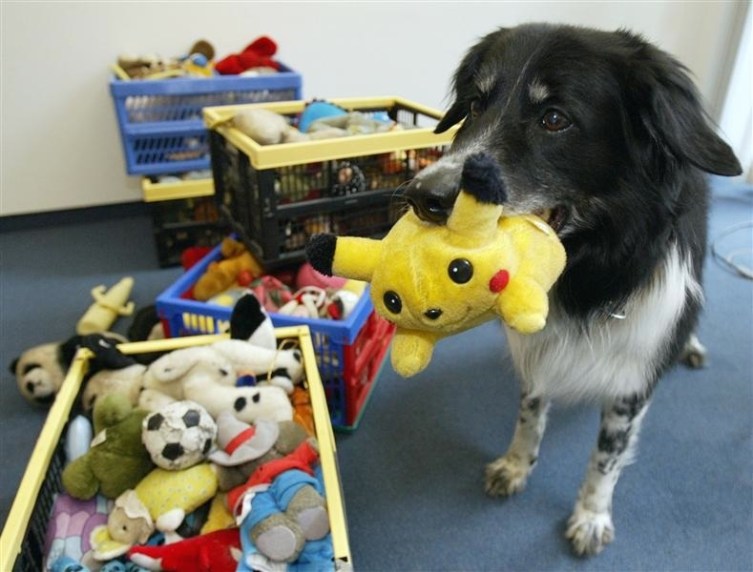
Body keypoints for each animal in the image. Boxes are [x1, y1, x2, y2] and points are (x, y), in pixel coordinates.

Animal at [406, 24, 740, 556]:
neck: (586, 267)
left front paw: (591, 515)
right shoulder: (536, 349)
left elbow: (606, 457)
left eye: (554, 119)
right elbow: (530, 411)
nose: (422, 197)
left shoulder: (632, 376)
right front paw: (517, 465)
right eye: (475, 104)